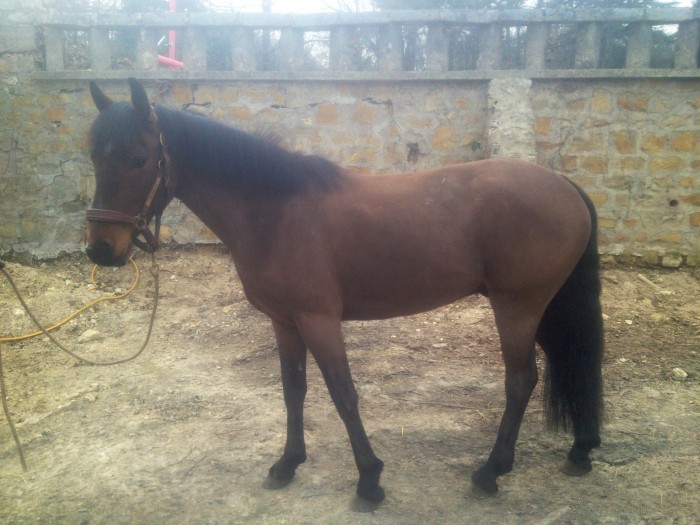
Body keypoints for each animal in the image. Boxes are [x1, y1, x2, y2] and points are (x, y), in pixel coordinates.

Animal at [84, 78, 604, 503]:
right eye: (94, 157)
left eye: (139, 158)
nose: (101, 249)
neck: (274, 211)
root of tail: (563, 184)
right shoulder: (284, 321)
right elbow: (294, 389)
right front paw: (288, 464)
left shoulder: (319, 320)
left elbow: (343, 393)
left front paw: (370, 479)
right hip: (543, 306)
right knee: (573, 360)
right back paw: (580, 451)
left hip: (518, 307)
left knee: (521, 381)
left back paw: (491, 472)